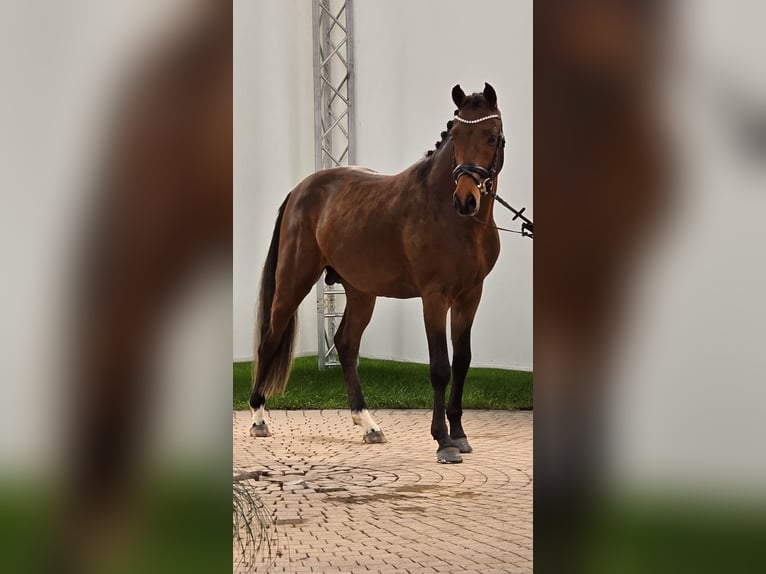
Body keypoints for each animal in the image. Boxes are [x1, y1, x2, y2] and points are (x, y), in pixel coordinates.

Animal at [249, 83, 507, 464]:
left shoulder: (470, 296)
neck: (450, 216)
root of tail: (300, 190)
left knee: (345, 344)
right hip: (294, 279)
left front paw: (459, 434)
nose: (466, 199)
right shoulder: (434, 298)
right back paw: (258, 417)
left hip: (361, 291)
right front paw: (443, 441)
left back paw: (369, 424)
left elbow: (461, 362)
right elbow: (440, 368)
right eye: (456, 136)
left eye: (491, 136)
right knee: (270, 338)